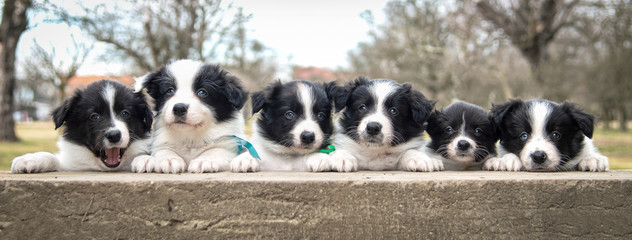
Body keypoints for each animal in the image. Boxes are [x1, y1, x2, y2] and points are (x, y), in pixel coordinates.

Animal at [11, 80, 152, 172]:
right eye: (94, 116)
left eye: (125, 113)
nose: (114, 135)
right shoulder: (73, 164)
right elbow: (56, 159)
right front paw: (31, 159)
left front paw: (145, 158)